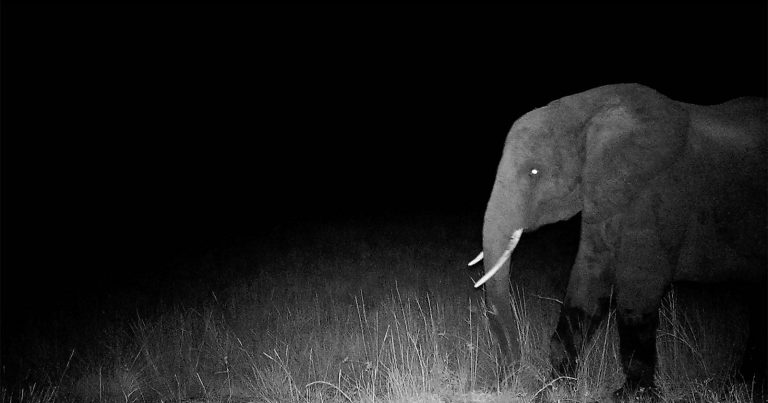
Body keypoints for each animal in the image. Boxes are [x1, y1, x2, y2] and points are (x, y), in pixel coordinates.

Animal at [469, 83, 766, 397]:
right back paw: (742, 385)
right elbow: (588, 281)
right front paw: (554, 388)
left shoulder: (656, 194)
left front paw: (631, 395)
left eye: (534, 172)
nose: (506, 379)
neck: (588, 110)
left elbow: (640, 288)